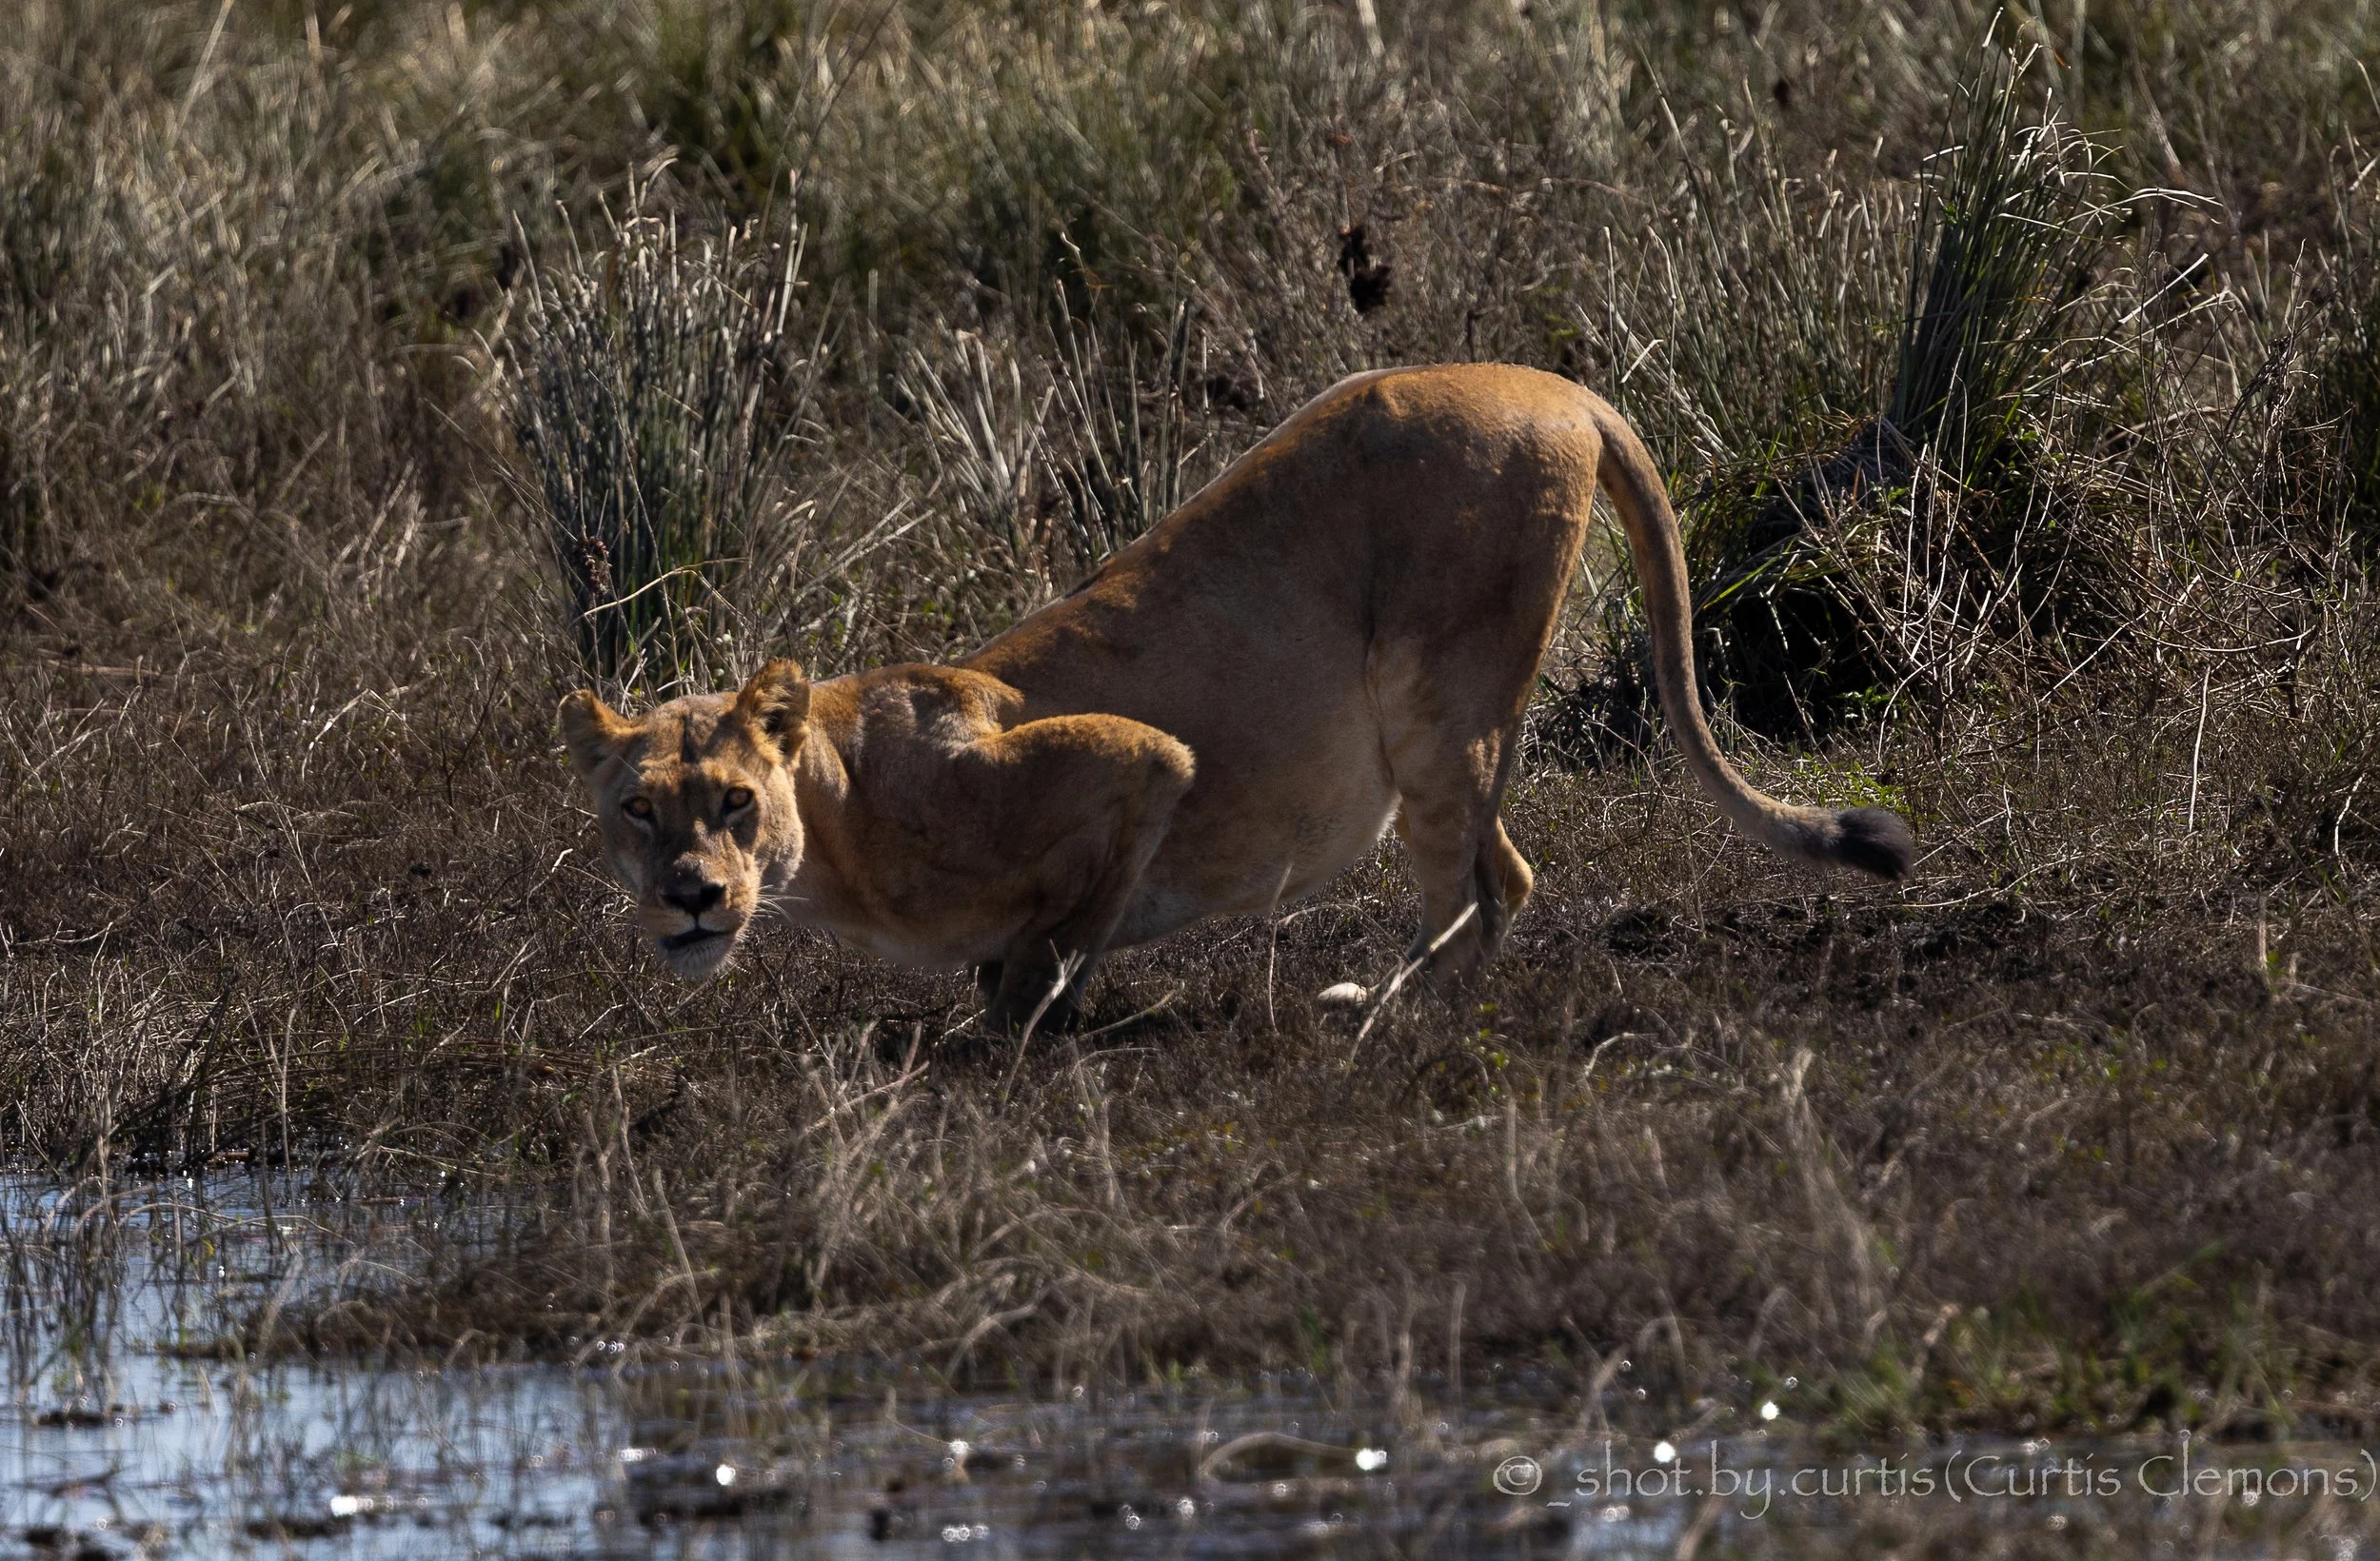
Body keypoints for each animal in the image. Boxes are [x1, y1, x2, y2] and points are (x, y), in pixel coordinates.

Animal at [560, 364, 1914, 1030]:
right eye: (639, 810)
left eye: (736, 802)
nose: (692, 895)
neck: (839, 822)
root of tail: (1561, 383)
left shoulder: (1135, 758)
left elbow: (1045, 951)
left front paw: (1012, 1034)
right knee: (1507, 874)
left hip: (1439, 692)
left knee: (1475, 883)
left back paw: (1378, 1018)